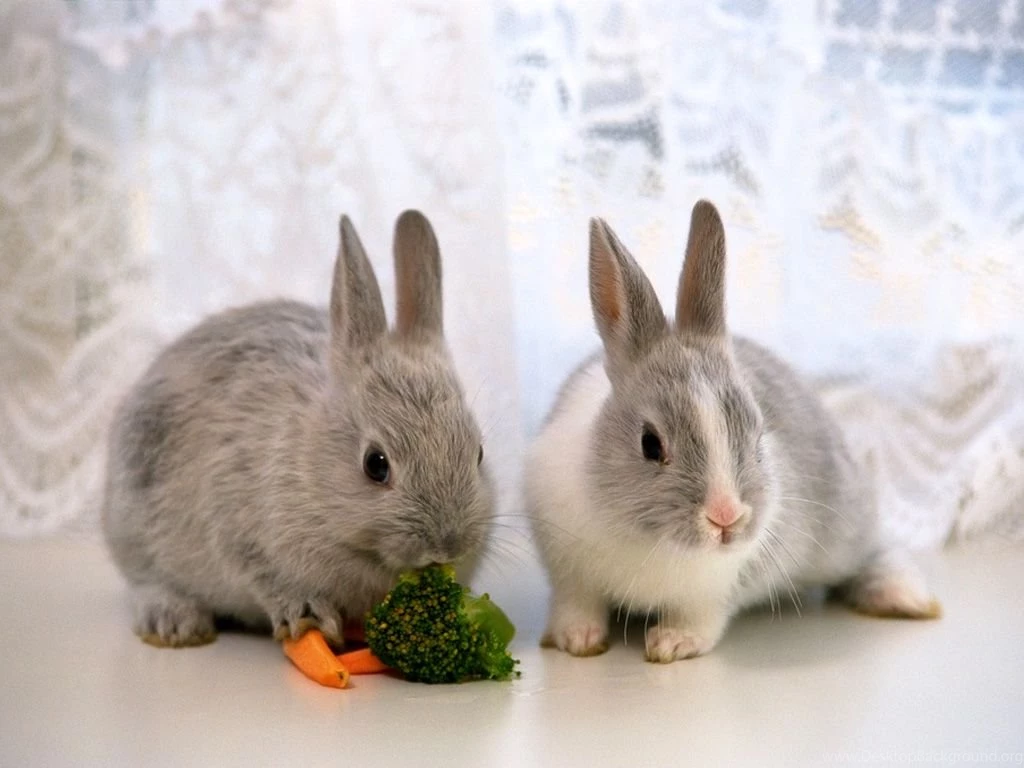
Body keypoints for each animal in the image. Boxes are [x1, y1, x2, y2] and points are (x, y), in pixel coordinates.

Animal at [102, 211, 494, 649]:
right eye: (375, 464)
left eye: (478, 454)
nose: (447, 545)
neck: (309, 471)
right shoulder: (239, 530)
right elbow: (268, 579)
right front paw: (309, 619)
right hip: (133, 521)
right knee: (147, 580)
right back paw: (176, 625)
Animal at [526, 200, 941, 663]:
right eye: (650, 444)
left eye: (758, 436)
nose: (726, 517)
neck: (648, 540)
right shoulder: (569, 572)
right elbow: (577, 605)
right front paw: (577, 640)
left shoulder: (711, 593)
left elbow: (700, 621)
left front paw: (672, 643)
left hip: (845, 529)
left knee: (875, 551)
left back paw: (903, 597)